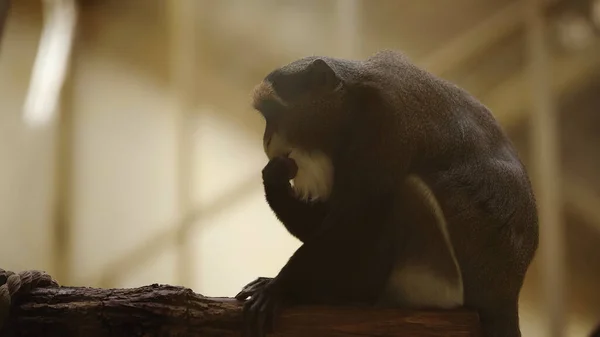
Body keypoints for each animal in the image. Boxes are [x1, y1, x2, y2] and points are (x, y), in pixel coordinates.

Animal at [233, 50, 540, 336]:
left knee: (408, 191)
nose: (266, 140)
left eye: (274, 112)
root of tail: (505, 295)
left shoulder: (386, 126)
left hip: (441, 278)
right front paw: (274, 179)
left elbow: (351, 226)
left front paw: (278, 289)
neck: (351, 101)